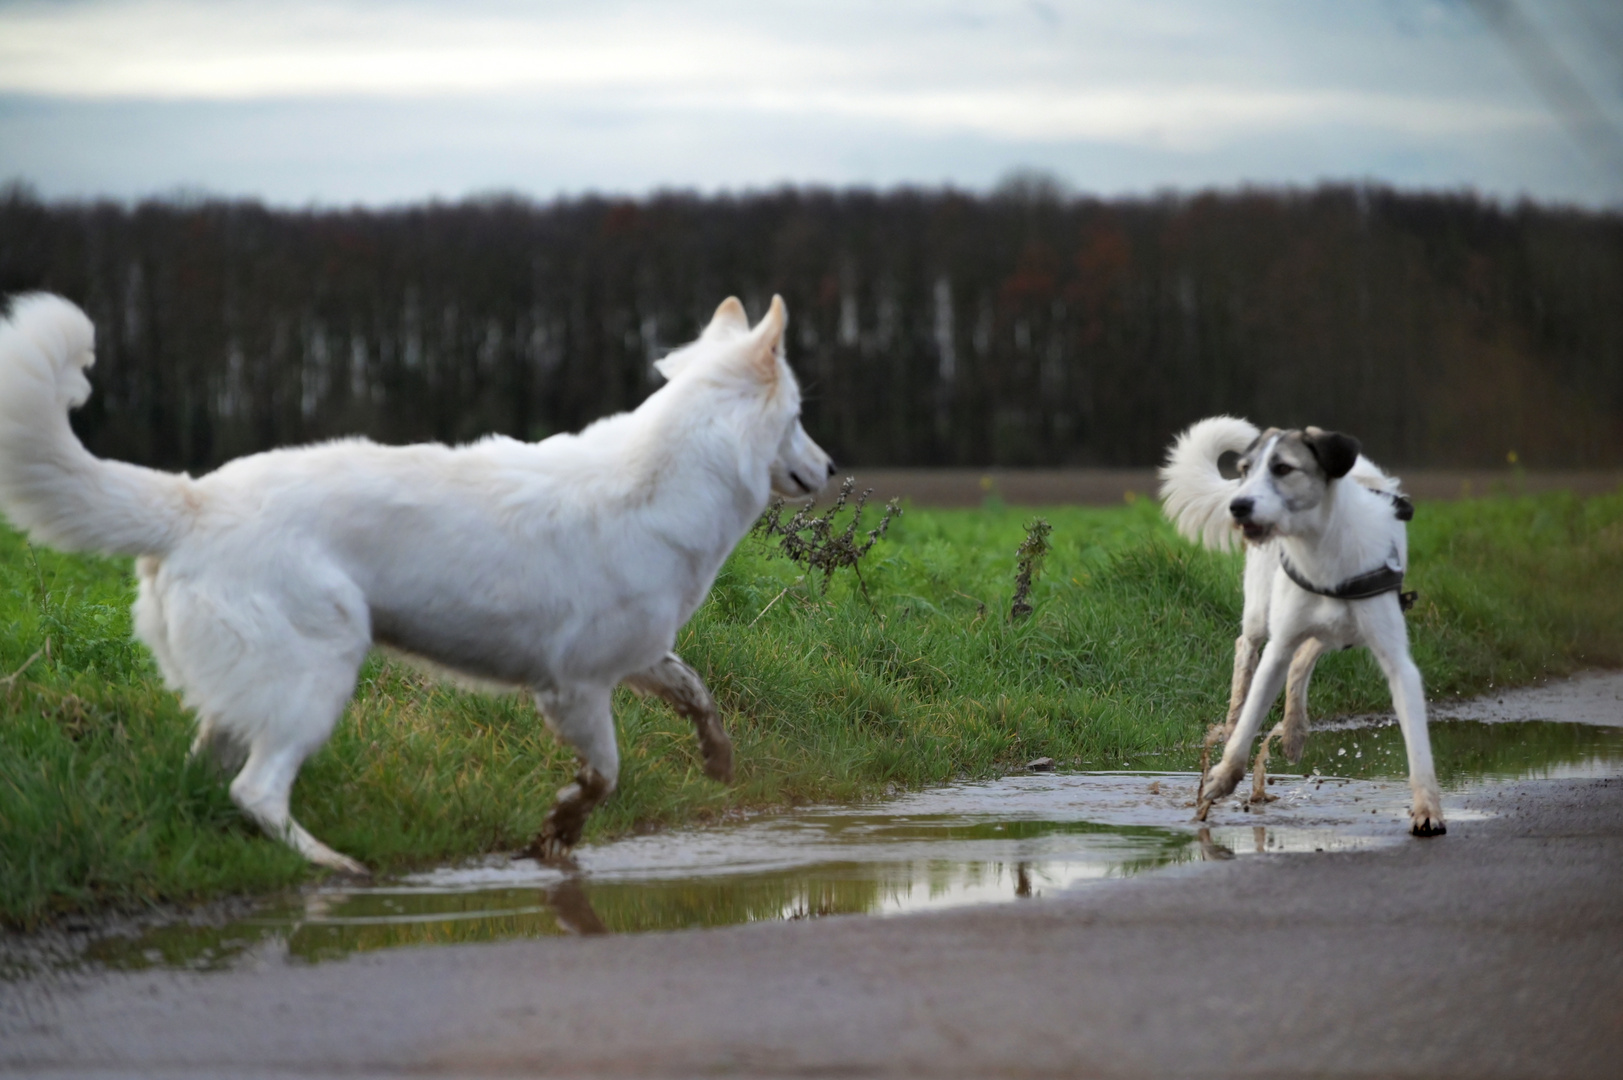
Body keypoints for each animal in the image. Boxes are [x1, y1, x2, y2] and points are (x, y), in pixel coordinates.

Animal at [1162, 412, 1441, 831]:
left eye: (1283, 468)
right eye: (1245, 470)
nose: (1238, 506)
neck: (1320, 550)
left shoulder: (1397, 662)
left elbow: (1419, 748)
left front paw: (1427, 810)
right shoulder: (1277, 647)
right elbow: (1251, 717)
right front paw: (1224, 776)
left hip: (1340, 634)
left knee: (1305, 657)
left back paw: (1294, 731)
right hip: (1261, 611)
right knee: (1247, 650)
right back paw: (1234, 719)